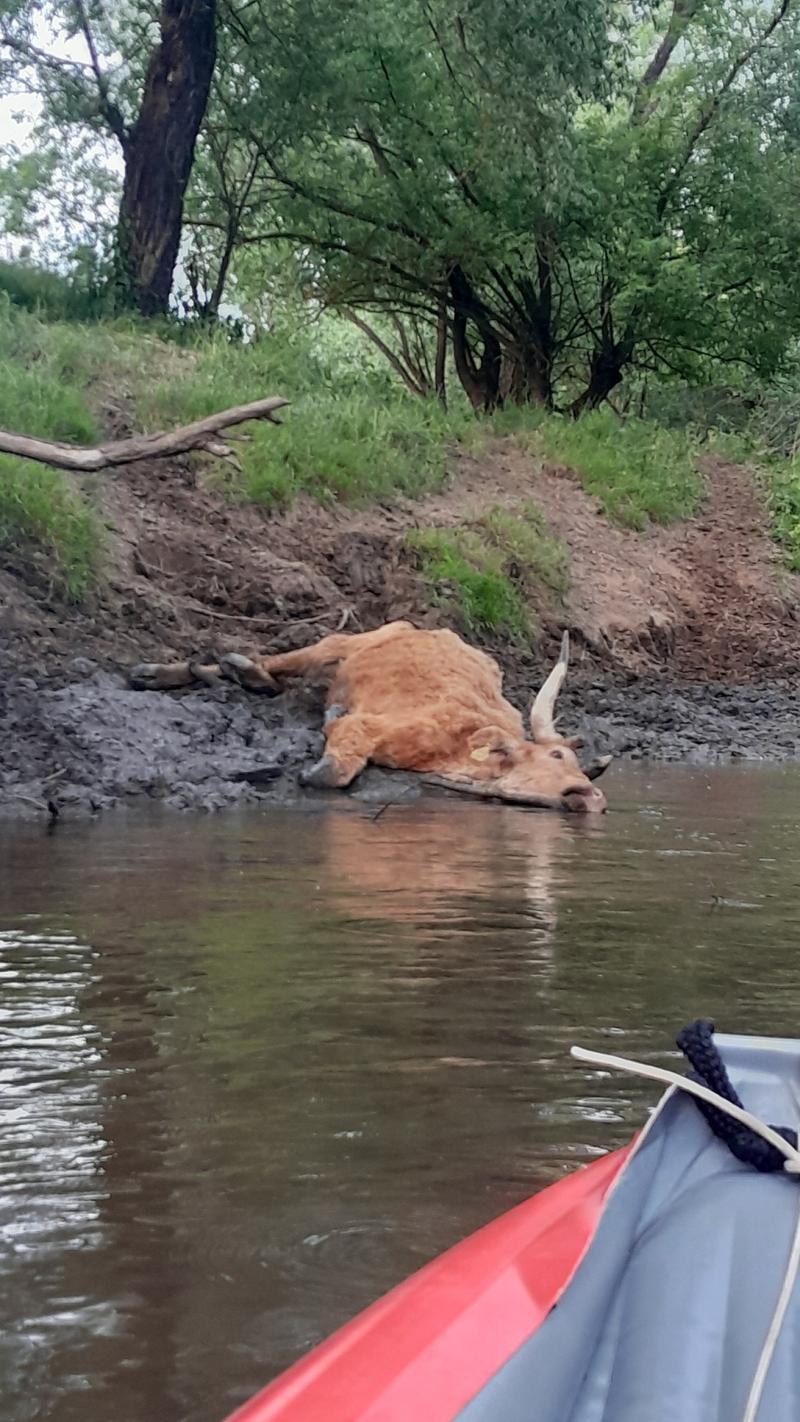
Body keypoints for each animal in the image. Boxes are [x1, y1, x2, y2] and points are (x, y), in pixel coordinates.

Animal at [131, 619, 611, 813]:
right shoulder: (366, 726)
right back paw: (182, 671)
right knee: (285, 659)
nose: (594, 797)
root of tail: (425, 627)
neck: (458, 748)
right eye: (556, 758)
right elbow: (335, 766)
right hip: (344, 643)